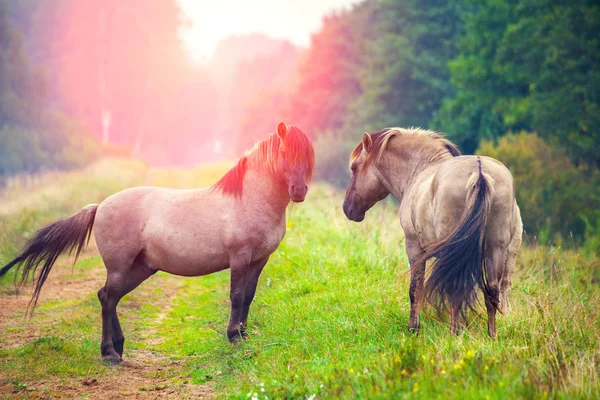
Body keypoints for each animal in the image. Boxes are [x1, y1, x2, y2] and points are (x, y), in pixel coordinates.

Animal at [0, 122, 316, 362]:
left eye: (308, 156)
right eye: (284, 152)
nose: (299, 191)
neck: (250, 198)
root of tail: (100, 206)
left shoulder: (259, 260)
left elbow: (249, 296)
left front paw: (244, 335)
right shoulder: (240, 257)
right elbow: (237, 296)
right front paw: (233, 337)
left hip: (140, 268)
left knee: (108, 296)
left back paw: (119, 347)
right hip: (120, 266)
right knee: (108, 298)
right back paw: (109, 354)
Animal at [344, 128, 524, 338]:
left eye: (354, 168)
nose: (347, 208)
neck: (420, 169)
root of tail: (479, 172)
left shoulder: (414, 247)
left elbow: (415, 289)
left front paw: (413, 328)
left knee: (457, 288)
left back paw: (454, 333)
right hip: (496, 249)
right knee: (493, 291)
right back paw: (491, 336)